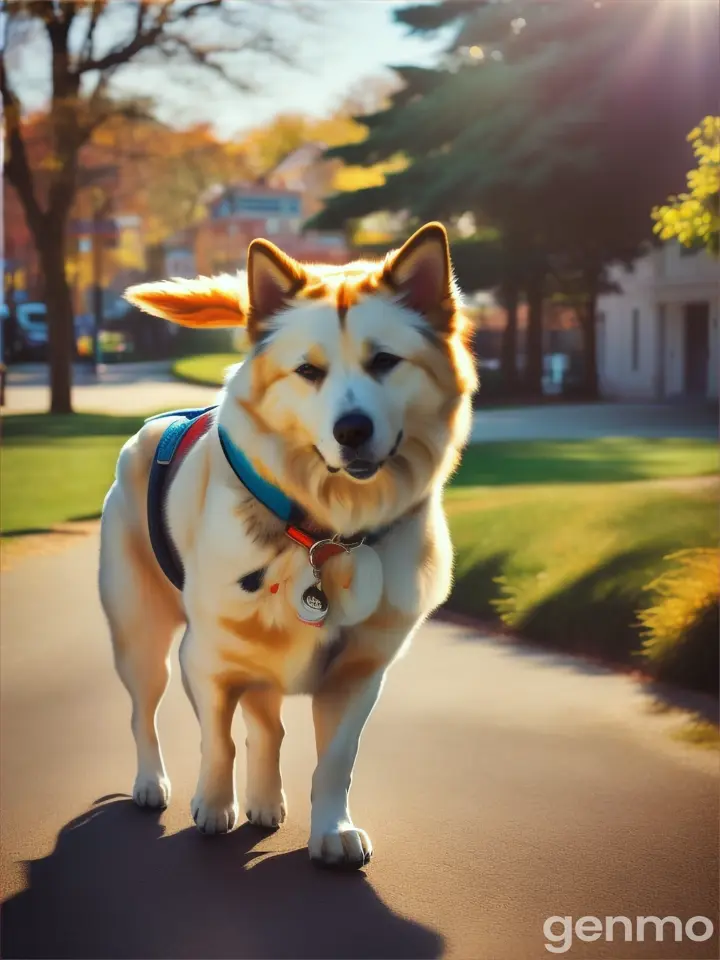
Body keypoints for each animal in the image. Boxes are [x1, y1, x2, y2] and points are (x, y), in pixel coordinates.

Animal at [97, 221, 478, 868]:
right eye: (308, 372)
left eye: (384, 362)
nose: (352, 429)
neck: (328, 532)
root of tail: (152, 428)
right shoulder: (208, 658)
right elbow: (217, 741)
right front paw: (212, 807)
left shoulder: (359, 672)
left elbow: (334, 762)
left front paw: (331, 830)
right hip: (141, 640)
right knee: (141, 715)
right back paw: (153, 783)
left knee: (267, 726)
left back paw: (266, 801)